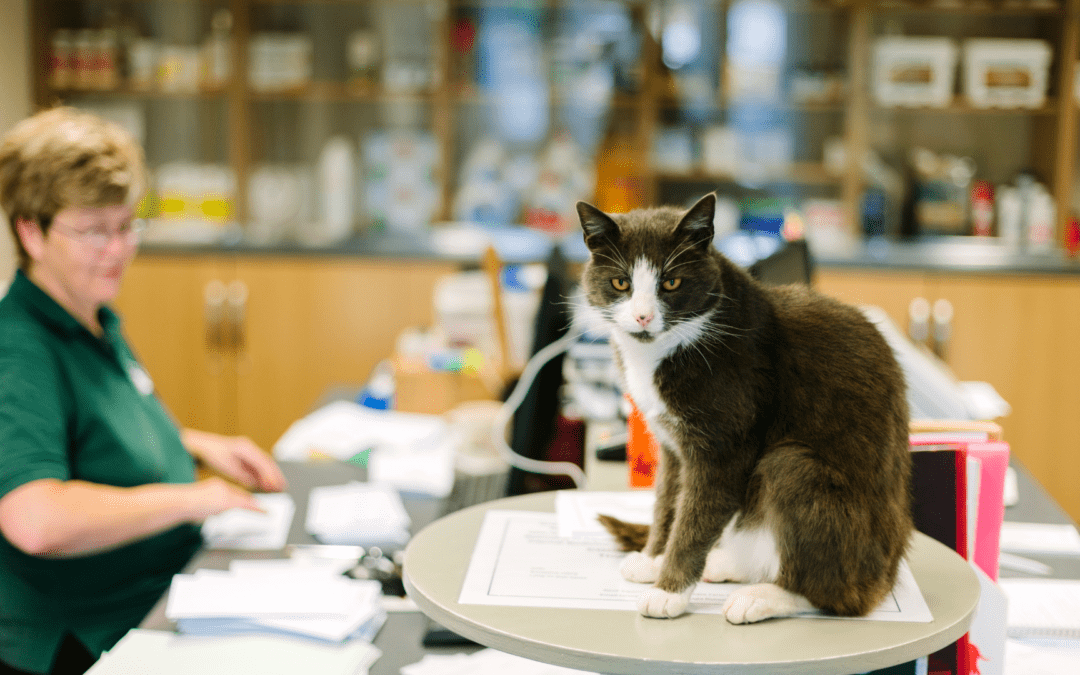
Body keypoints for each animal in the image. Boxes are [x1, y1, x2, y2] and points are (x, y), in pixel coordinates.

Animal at [583, 193, 911, 622]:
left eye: (671, 282)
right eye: (620, 282)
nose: (642, 316)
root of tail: (888, 576)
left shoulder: (725, 443)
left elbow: (696, 516)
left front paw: (668, 593)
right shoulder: (671, 444)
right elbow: (668, 501)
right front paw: (654, 560)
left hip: (803, 479)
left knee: (837, 594)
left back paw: (765, 596)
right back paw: (726, 565)